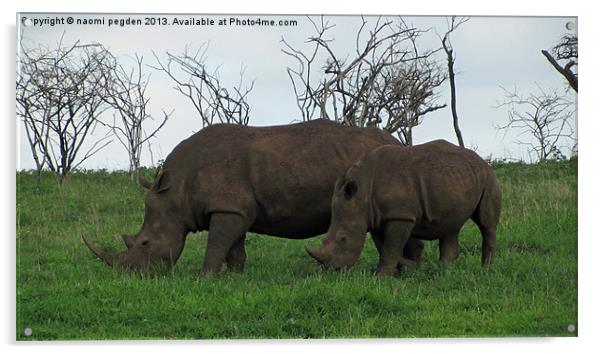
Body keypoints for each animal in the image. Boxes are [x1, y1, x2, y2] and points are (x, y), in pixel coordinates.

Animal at [83, 120, 422, 276]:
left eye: (145, 243)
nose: (131, 274)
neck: (177, 191)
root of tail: (397, 142)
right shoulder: (234, 209)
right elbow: (234, 248)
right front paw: (235, 277)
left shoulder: (227, 209)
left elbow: (216, 245)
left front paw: (205, 277)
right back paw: (410, 271)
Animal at [308, 139, 500, 276]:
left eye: (343, 238)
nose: (332, 270)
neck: (362, 192)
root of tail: (481, 160)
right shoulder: (376, 216)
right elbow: (384, 246)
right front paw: (407, 268)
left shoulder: (400, 215)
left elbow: (390, 248)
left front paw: (380, 277)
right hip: (457, 180)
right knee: (451, 225)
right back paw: (444, 272)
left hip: (488, 177)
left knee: (486, 223)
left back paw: (486, 269)